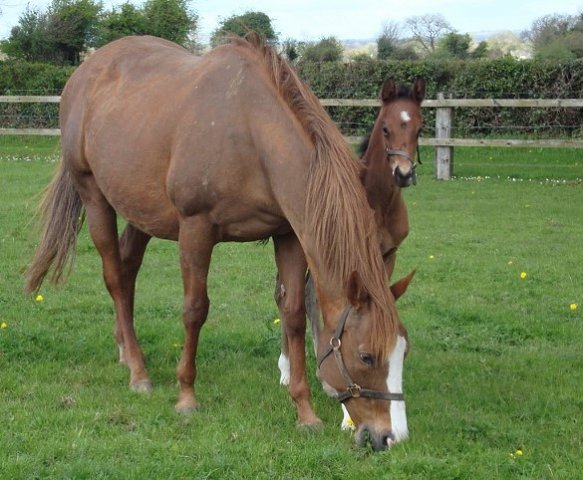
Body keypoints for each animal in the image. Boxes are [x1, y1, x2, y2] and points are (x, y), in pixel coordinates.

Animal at [25, 35, 410, 452]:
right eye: (366, 356)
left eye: (402, 351)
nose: (390, 436)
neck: (251, 133)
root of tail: (83, 73)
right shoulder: (196, 229)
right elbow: (195, 310)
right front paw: (186, 397)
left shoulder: (289, 235)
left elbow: (292, 315)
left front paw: (305, 413)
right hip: (95, 197)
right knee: (114, 276)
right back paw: (139, 373)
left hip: (142, 212)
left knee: (127, 274)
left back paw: (127, 353)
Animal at [276, 78, 426, 438]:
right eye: (385, 128)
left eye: (420, 127)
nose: (403, 174)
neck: (379, 202)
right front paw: (346, 410)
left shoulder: (386, 257)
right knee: (286, 297)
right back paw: (287, 368)